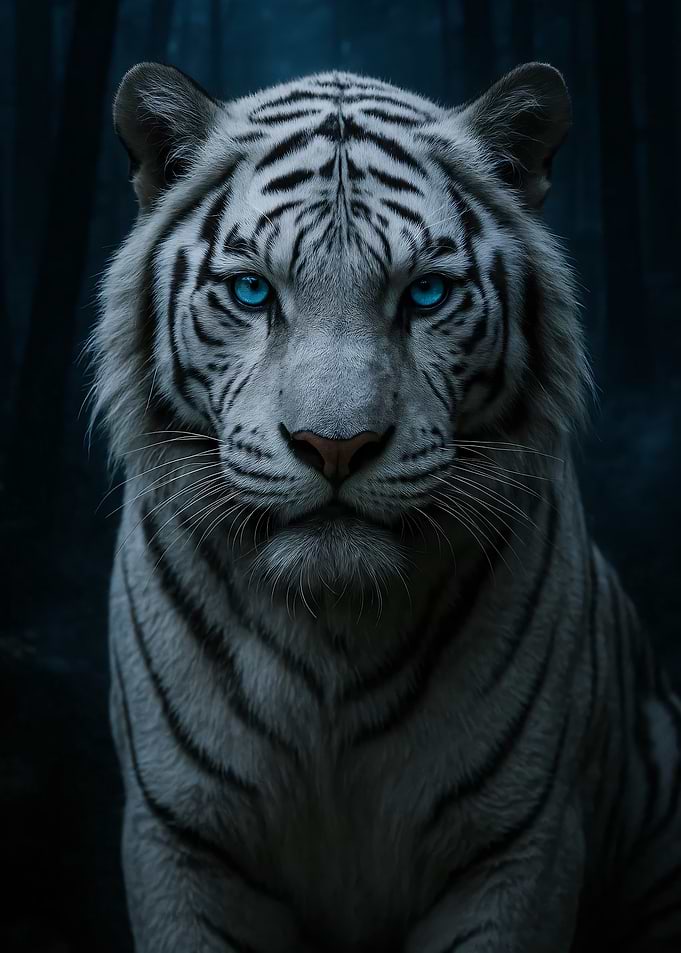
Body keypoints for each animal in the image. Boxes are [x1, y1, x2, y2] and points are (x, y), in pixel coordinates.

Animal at [89, 59, 681, 953]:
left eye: (427, 294)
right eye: (252, 291)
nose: (335, 445)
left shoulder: (519, 844)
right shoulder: (181, 837)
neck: (332, 637)